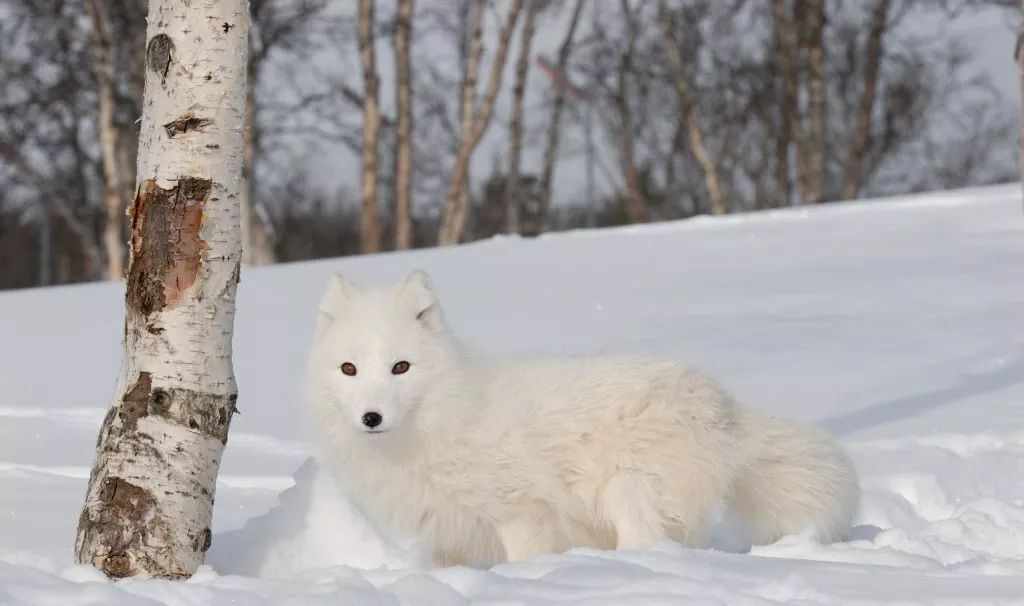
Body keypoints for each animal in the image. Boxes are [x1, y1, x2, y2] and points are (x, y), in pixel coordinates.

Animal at [307, 272, 860, 565]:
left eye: (400, 367)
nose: (371, 417)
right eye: (349, 369)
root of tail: (722, 402)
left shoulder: (522, 513)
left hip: (629, 492)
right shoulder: (447, 535)